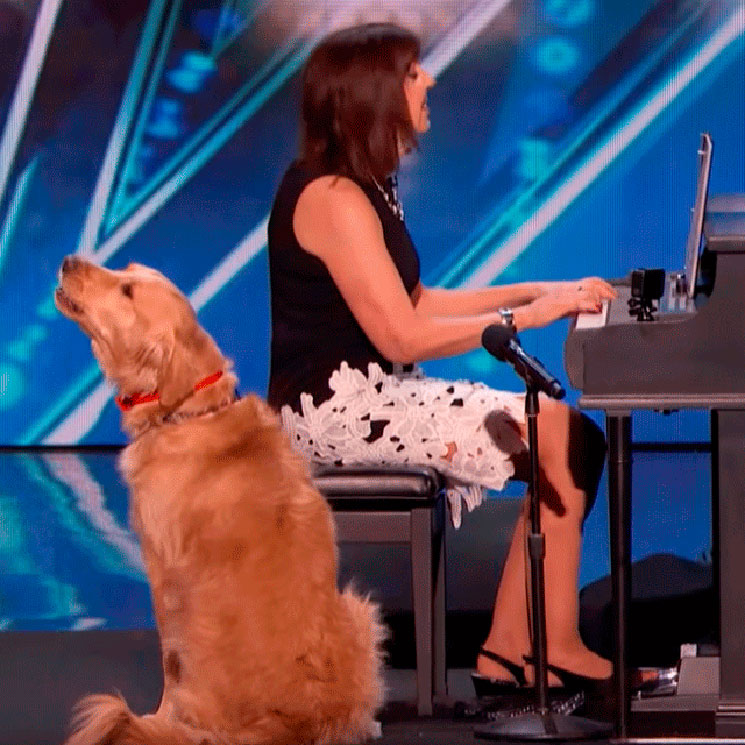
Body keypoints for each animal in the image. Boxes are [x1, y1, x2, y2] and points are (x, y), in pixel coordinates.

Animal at [53, 258, 384, 744]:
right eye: (127, 268)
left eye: (127, 290)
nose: (68, 261)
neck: (189, 411)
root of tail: (291, 722)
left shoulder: (164, 576)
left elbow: (168, 667)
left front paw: (157, 716)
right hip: (358, 609)